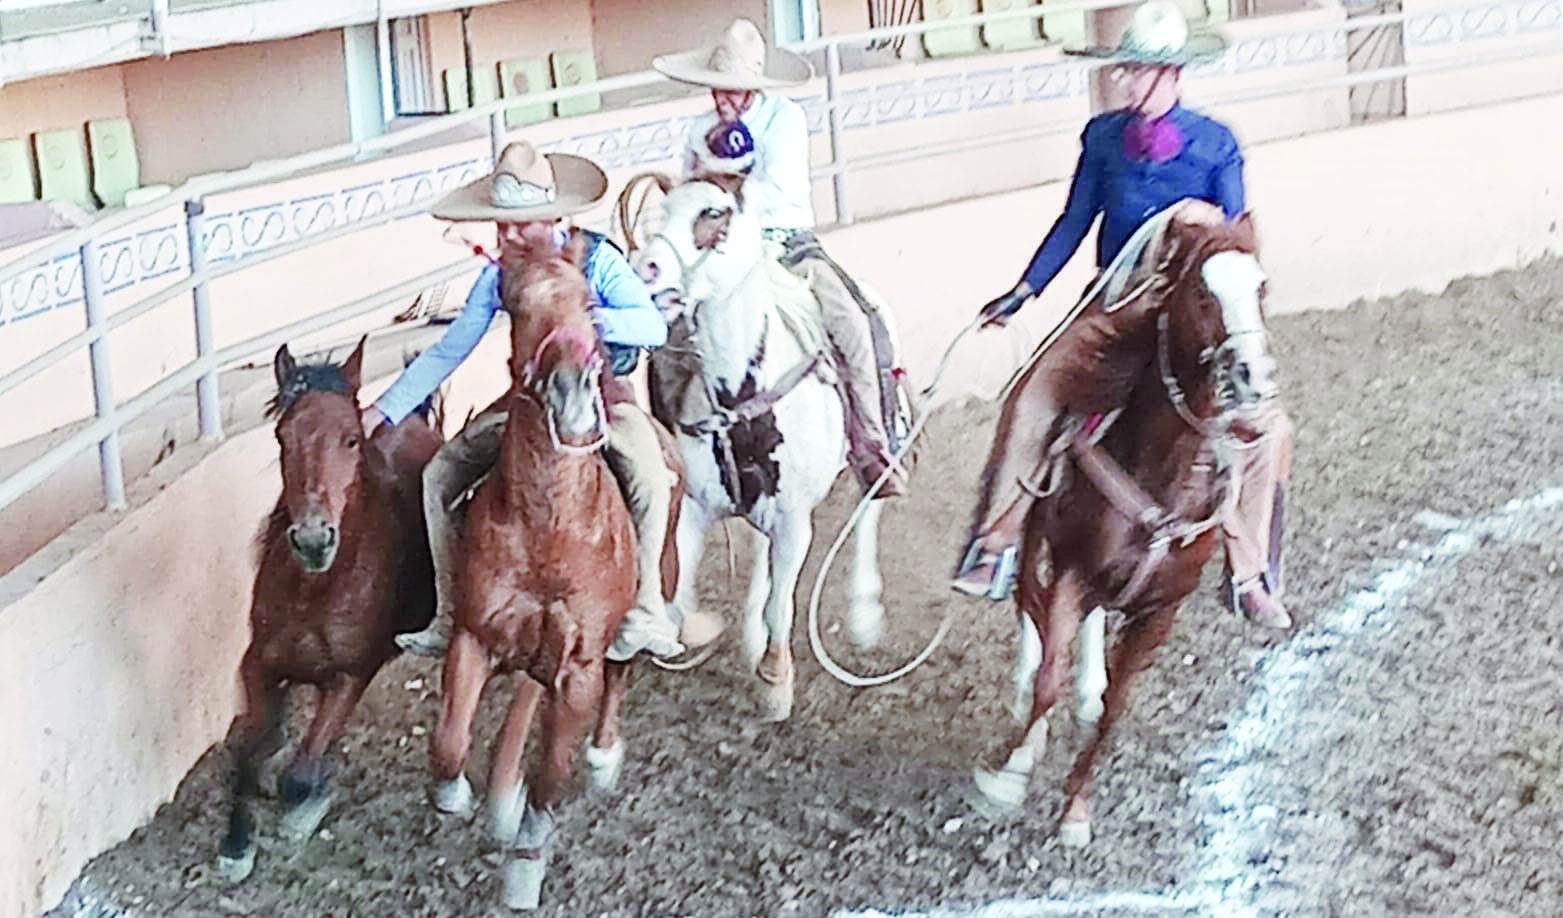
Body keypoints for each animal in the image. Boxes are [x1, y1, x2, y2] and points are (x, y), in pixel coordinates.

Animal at [217, 337, 443, 882]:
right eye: (282, 437)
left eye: (351, 439)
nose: (314, 540)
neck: (313, 593)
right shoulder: (258, 664)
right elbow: (249, 753)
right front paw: (236, 843)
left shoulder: (348, 676)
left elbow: (298, 775)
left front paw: (305, 807)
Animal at [425, 231, 662, 913]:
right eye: (516, 305)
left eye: (589, 301)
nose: (573, 392)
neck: (549, 534)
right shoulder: (474, 639)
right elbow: (449, 742)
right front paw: (460, 796)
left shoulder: (579, 666)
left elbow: (552, 772)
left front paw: (526, 862)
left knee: (619, 677)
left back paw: (602, 759)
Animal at [975, 214, 1281, 850]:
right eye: (1201, 293)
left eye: (1261, 287)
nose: (1254, 379)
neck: (1162, 477)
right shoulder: (1071, 569)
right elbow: (1048, 677)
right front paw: (1009, 778)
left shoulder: (1161, 610)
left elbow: (1118, 706)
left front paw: (1076, 810)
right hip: (1032, 535)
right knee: (1028, 607)